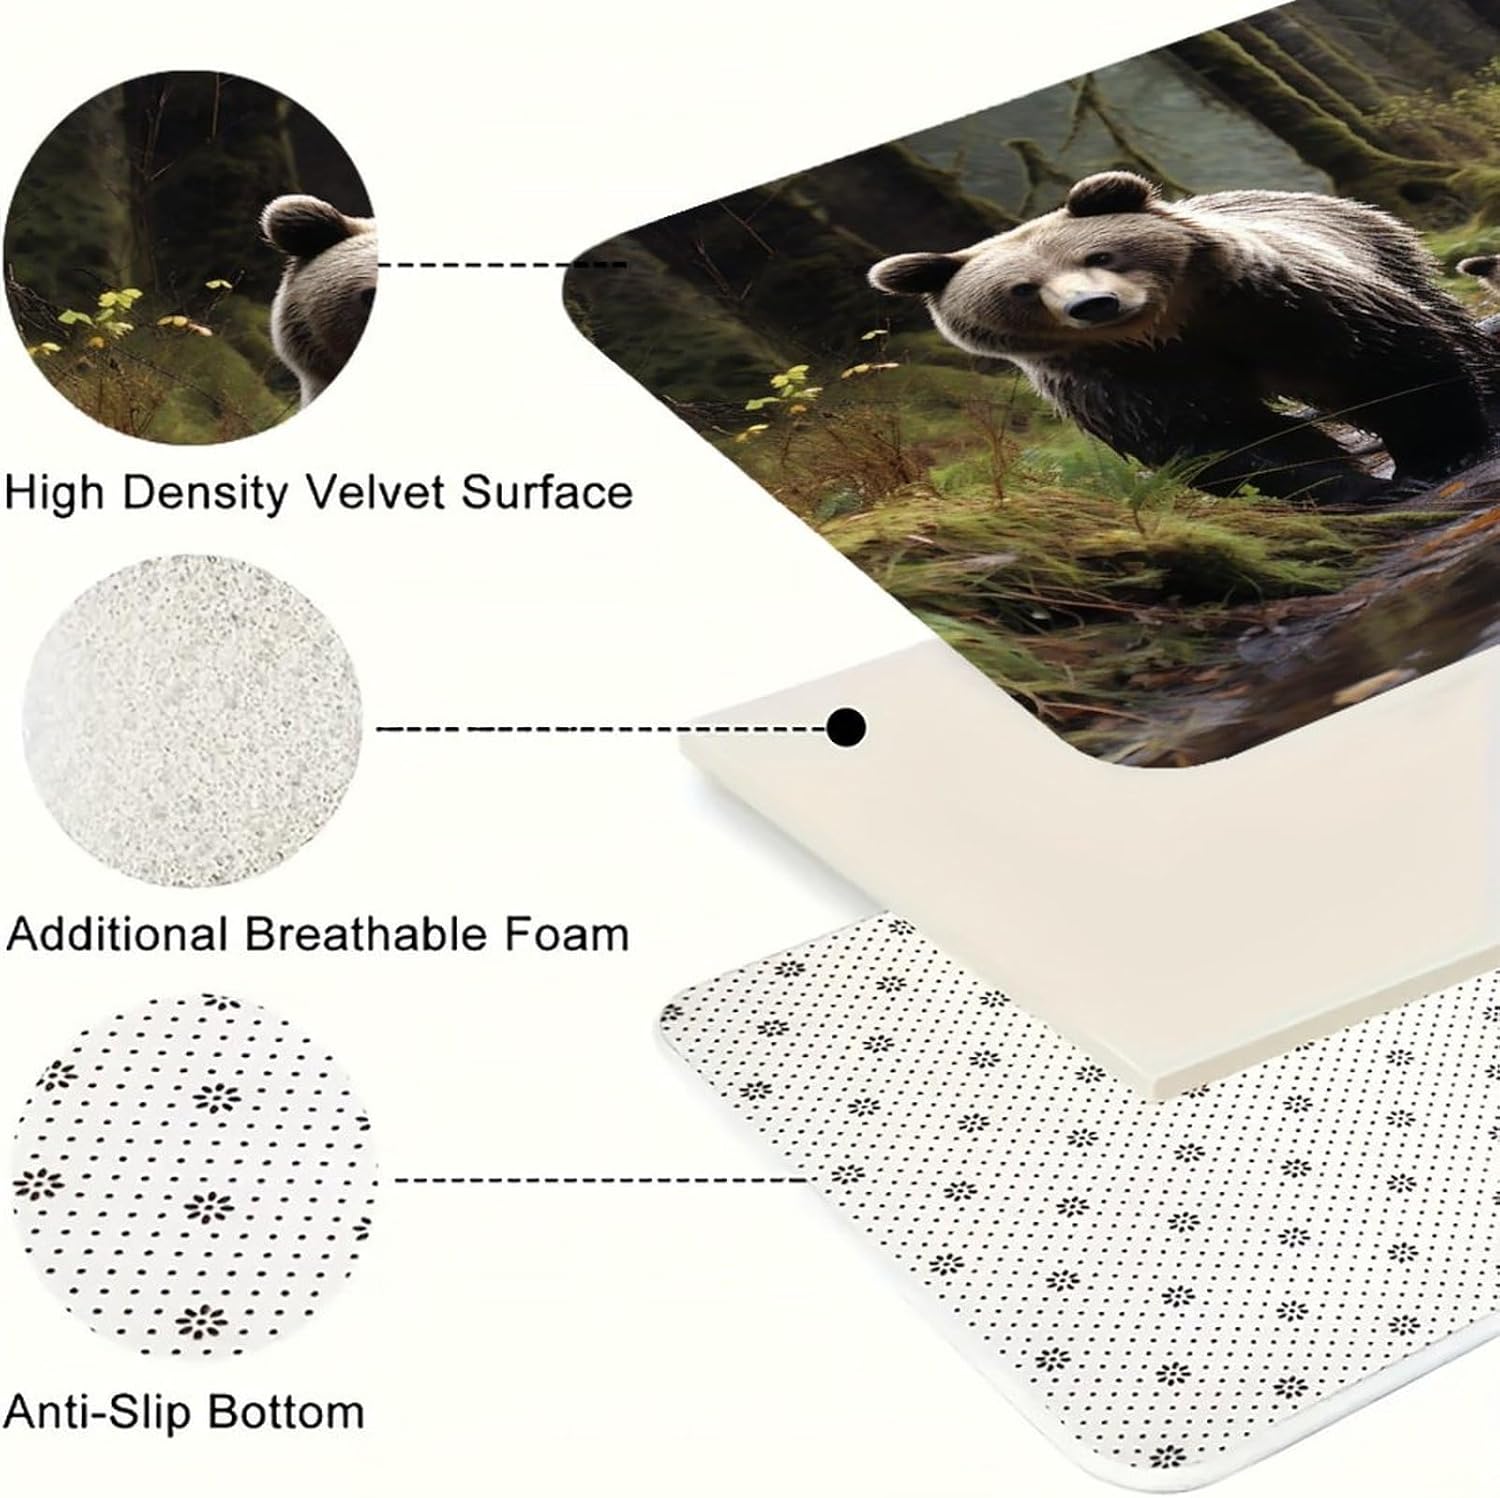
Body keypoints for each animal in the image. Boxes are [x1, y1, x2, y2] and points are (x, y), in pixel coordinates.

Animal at [869, 171, 1498, 504]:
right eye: (1023, 288)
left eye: (1099, 254)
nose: (1093, 305)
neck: (1166, 328)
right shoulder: (1117, 377)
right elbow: (1218, 440)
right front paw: (1357, 486)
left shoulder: (1276, 304)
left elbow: (1381, 362)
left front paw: (1436, 457)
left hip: (1380, 245)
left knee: (1443, 317)